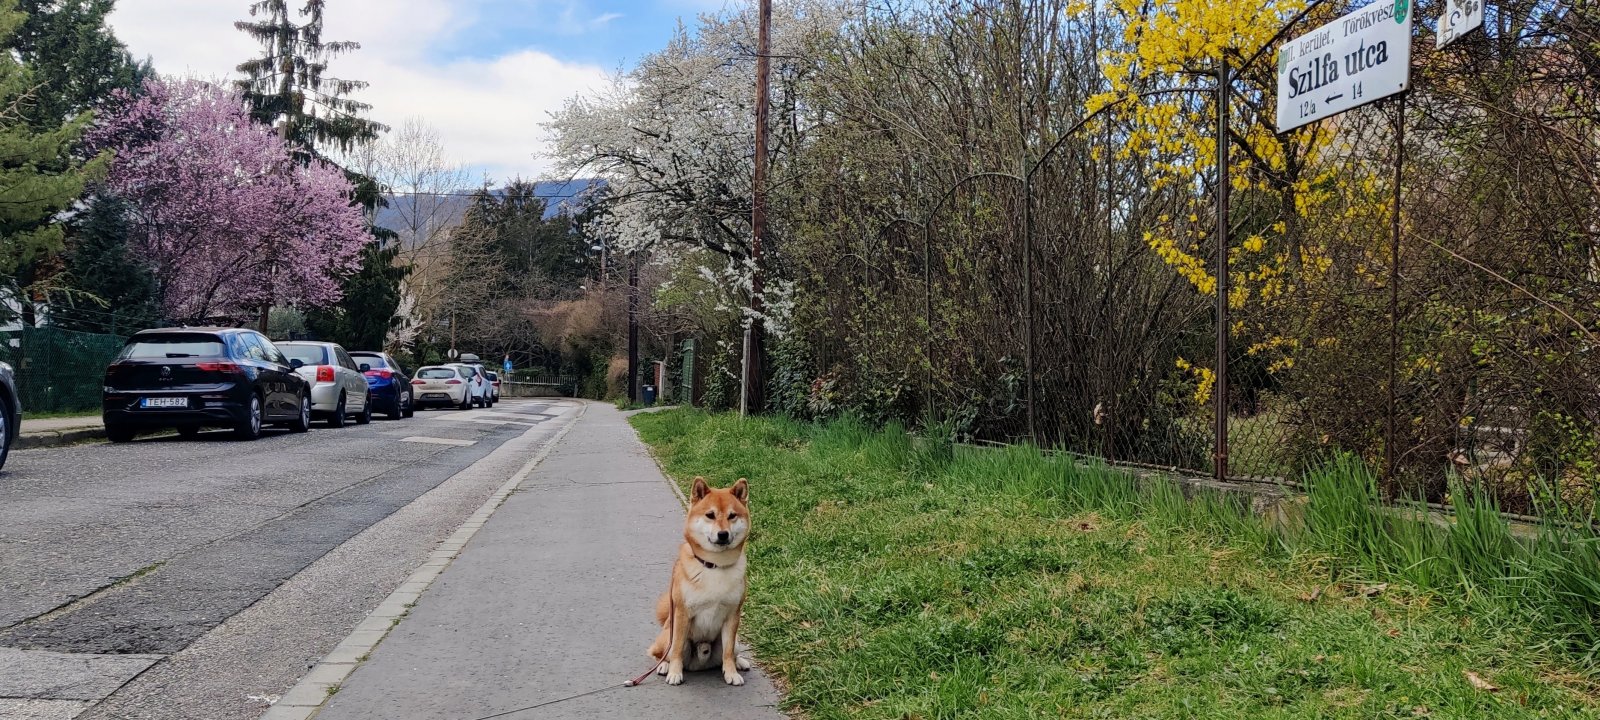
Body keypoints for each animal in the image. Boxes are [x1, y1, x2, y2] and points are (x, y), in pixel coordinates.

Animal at [647, 476, 753, 686]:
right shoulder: (682, 613)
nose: (723, 534)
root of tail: (700, 664)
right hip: (668, 635)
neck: (715, 565)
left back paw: (740, 662)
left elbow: (728, 653)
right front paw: (675, 673)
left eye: (732, 516)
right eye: (710, 515)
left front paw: (731, 672)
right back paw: (664, 666)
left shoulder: (733, 615)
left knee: (732, 652)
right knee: (660, 653)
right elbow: (677, 650)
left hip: (734, 639)